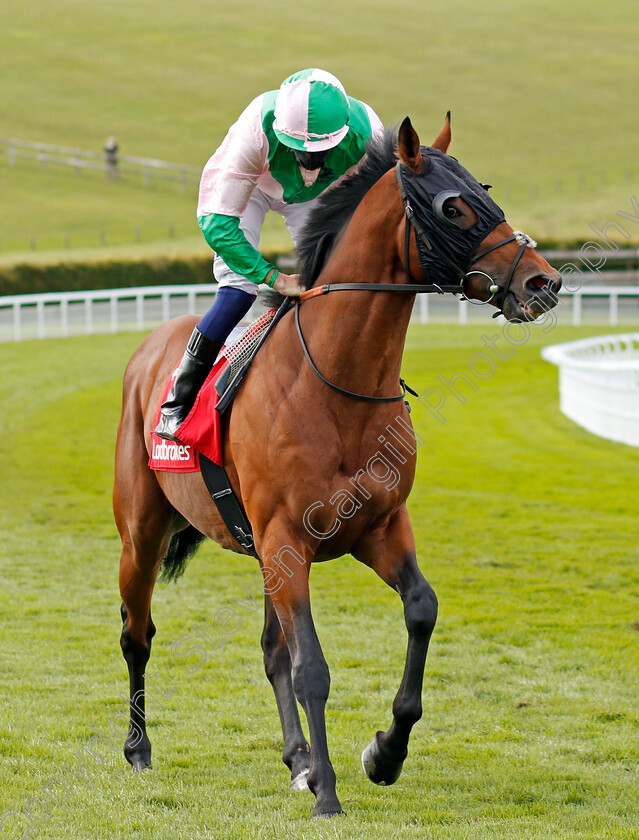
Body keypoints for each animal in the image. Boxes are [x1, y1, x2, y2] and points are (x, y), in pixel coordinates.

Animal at [114, 116, 560, 812]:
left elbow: (420, 610)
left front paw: (384, 753)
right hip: (144, 532)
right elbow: (313, 668)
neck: (336, 382)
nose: (544, 282)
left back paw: (297, 758)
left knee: (271, 650)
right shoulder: (286, 540)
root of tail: (151, 348)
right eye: (452, 207)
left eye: (486, 192)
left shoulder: (376, 527)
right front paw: (328, 790)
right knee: (138, 634)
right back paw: (139, 749)